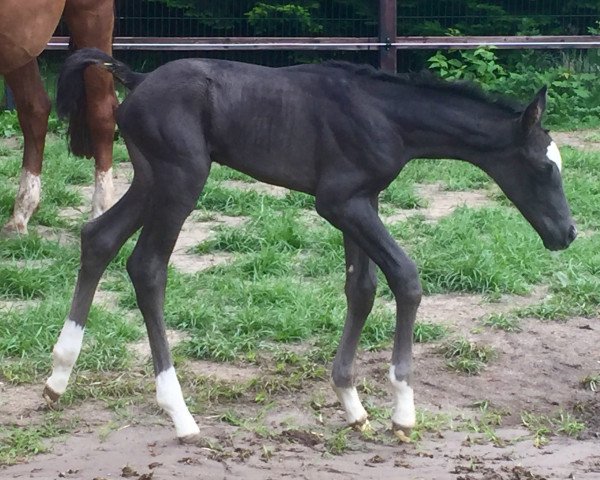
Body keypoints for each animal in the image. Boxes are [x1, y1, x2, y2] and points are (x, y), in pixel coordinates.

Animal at [0, 0, 116, 233]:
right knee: (35, 109)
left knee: (102, 112)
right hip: (19, 40)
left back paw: (101, 209)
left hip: (92, 14)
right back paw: (22, 213)